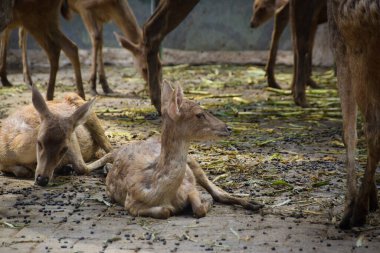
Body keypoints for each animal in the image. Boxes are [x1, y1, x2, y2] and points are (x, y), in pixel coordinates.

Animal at [93, 82, 264, 218]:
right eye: (199, 114)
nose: (228, 128)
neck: (161, 193)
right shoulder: (130, 202)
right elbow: (165, 211)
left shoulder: (189, 186)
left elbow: (200, 207)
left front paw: (204, 200)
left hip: (194, 162)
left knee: (218, 191)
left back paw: (255, 204)